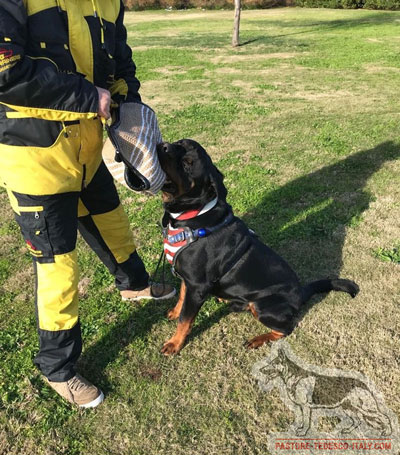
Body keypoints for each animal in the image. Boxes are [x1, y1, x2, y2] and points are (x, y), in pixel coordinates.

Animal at [156, 139, 360, 356]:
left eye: (188, 164)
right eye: (180, 142)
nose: (163, 145)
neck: (194, 215)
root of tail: (301, 292)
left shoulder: (197, 286)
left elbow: (185, 320)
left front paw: (174, 343)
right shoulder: (189, 280)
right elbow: (181, 299)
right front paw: (174, 312)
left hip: (263, 306)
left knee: (286, 329)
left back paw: (258, 339)